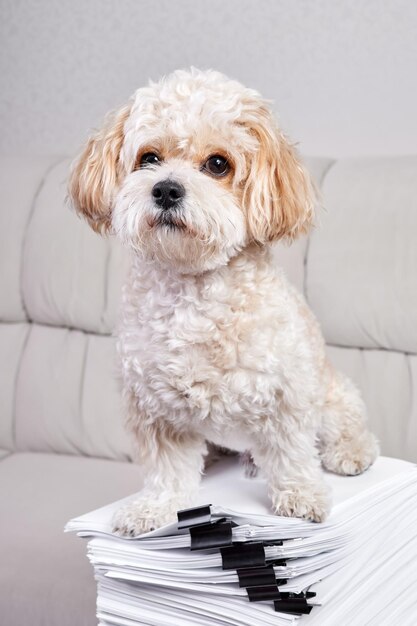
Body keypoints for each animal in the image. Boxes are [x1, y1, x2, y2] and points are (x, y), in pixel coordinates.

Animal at [70, 69, 378, 536]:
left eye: (218, 164)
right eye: (148, 158)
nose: (166, 190)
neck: (195, 294)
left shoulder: (286, 395)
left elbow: (291, 454)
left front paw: (301, 497)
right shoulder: (154, 410)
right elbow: (167, 470)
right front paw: (155, 509)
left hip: (331, 395)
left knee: (347, 423)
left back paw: (350, 452)